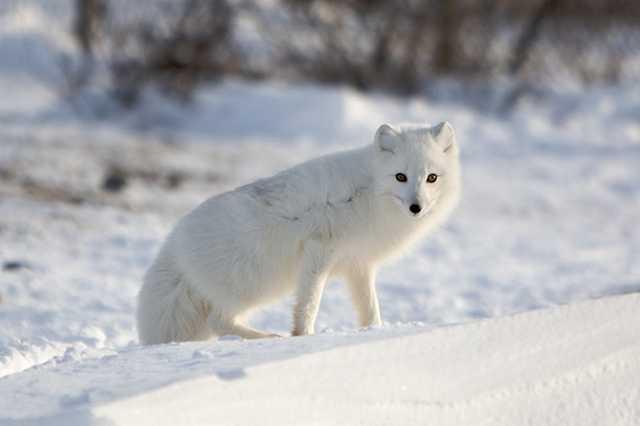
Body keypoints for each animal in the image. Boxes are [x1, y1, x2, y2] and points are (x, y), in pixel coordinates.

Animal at [139, 121, 460, 344]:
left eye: (431, 178)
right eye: (400, 177)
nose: (416, 207)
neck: (369, 192)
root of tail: (175, 240)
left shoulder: (358, 264)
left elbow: (370, 309)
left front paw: (374, 333)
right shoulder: (319, 248)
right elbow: (309, 303)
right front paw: (303, 337)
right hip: (254, 284)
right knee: (220, 320)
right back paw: (268, 337)